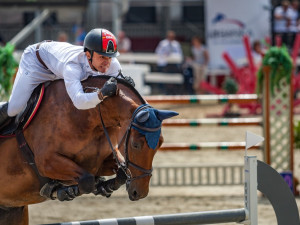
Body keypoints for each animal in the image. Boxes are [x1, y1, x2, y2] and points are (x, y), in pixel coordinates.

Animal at [0, 76, 178, 225]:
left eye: (160, 144)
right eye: (135, 144)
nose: (139, 192)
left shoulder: (100, 161)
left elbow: (118, 174)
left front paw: (104, 186)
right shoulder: (47, 162)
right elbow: (86, 181)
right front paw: (63, 191)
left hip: (13, 210)